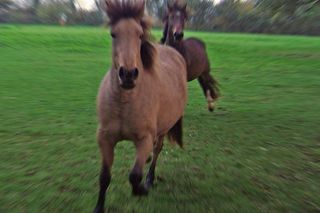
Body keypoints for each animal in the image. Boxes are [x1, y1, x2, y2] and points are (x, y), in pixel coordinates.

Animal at [92, 0, 188, 212]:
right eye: (113, 34)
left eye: (139, 34)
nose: (128, 74)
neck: (125, 103)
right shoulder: (105, 139)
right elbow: (104, 177)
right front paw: (99, 207)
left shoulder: (144, 139)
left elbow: (134, 176)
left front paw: (142, 189)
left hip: (163, 129)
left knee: (157, 149)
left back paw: (150, 178)